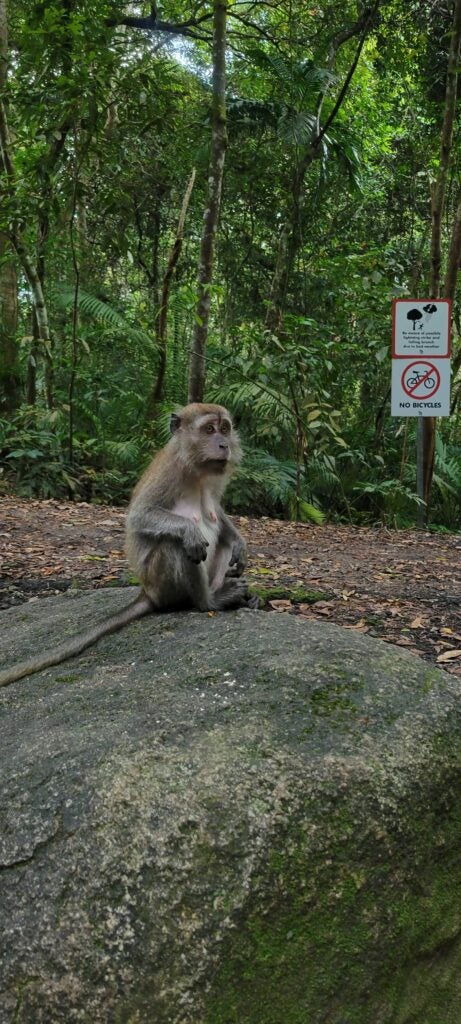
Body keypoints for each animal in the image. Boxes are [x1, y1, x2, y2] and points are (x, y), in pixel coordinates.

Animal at [0, 403, 249, 688]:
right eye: (208, 429)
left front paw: (240, 542)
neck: (196, 470)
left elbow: (218, 513)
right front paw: (189, 531)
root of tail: (147, 592)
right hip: (162, 584)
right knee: (175, 544)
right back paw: (208, 602)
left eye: (225, 429)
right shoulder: (169, 472)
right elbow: (140, 516)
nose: (223, 445)